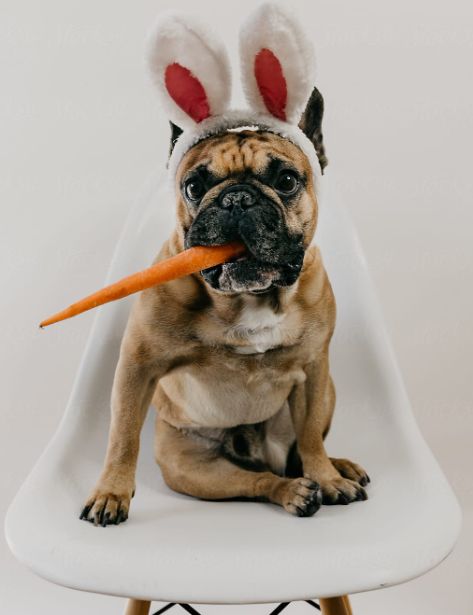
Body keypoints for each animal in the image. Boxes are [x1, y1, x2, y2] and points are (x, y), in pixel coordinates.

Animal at [80, 3, 368, 524]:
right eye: (193, 186)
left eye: (287, 180)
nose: (237, 198)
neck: (250, 298)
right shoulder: (136, 364)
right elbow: (122, 434)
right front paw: (111, 491)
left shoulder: (316, 370)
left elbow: (311, 433)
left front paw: (328, 475)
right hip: (190, 467)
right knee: (257, 482)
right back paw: (293, 492)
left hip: (330, 391)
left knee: (300, 450)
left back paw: (334, 469)